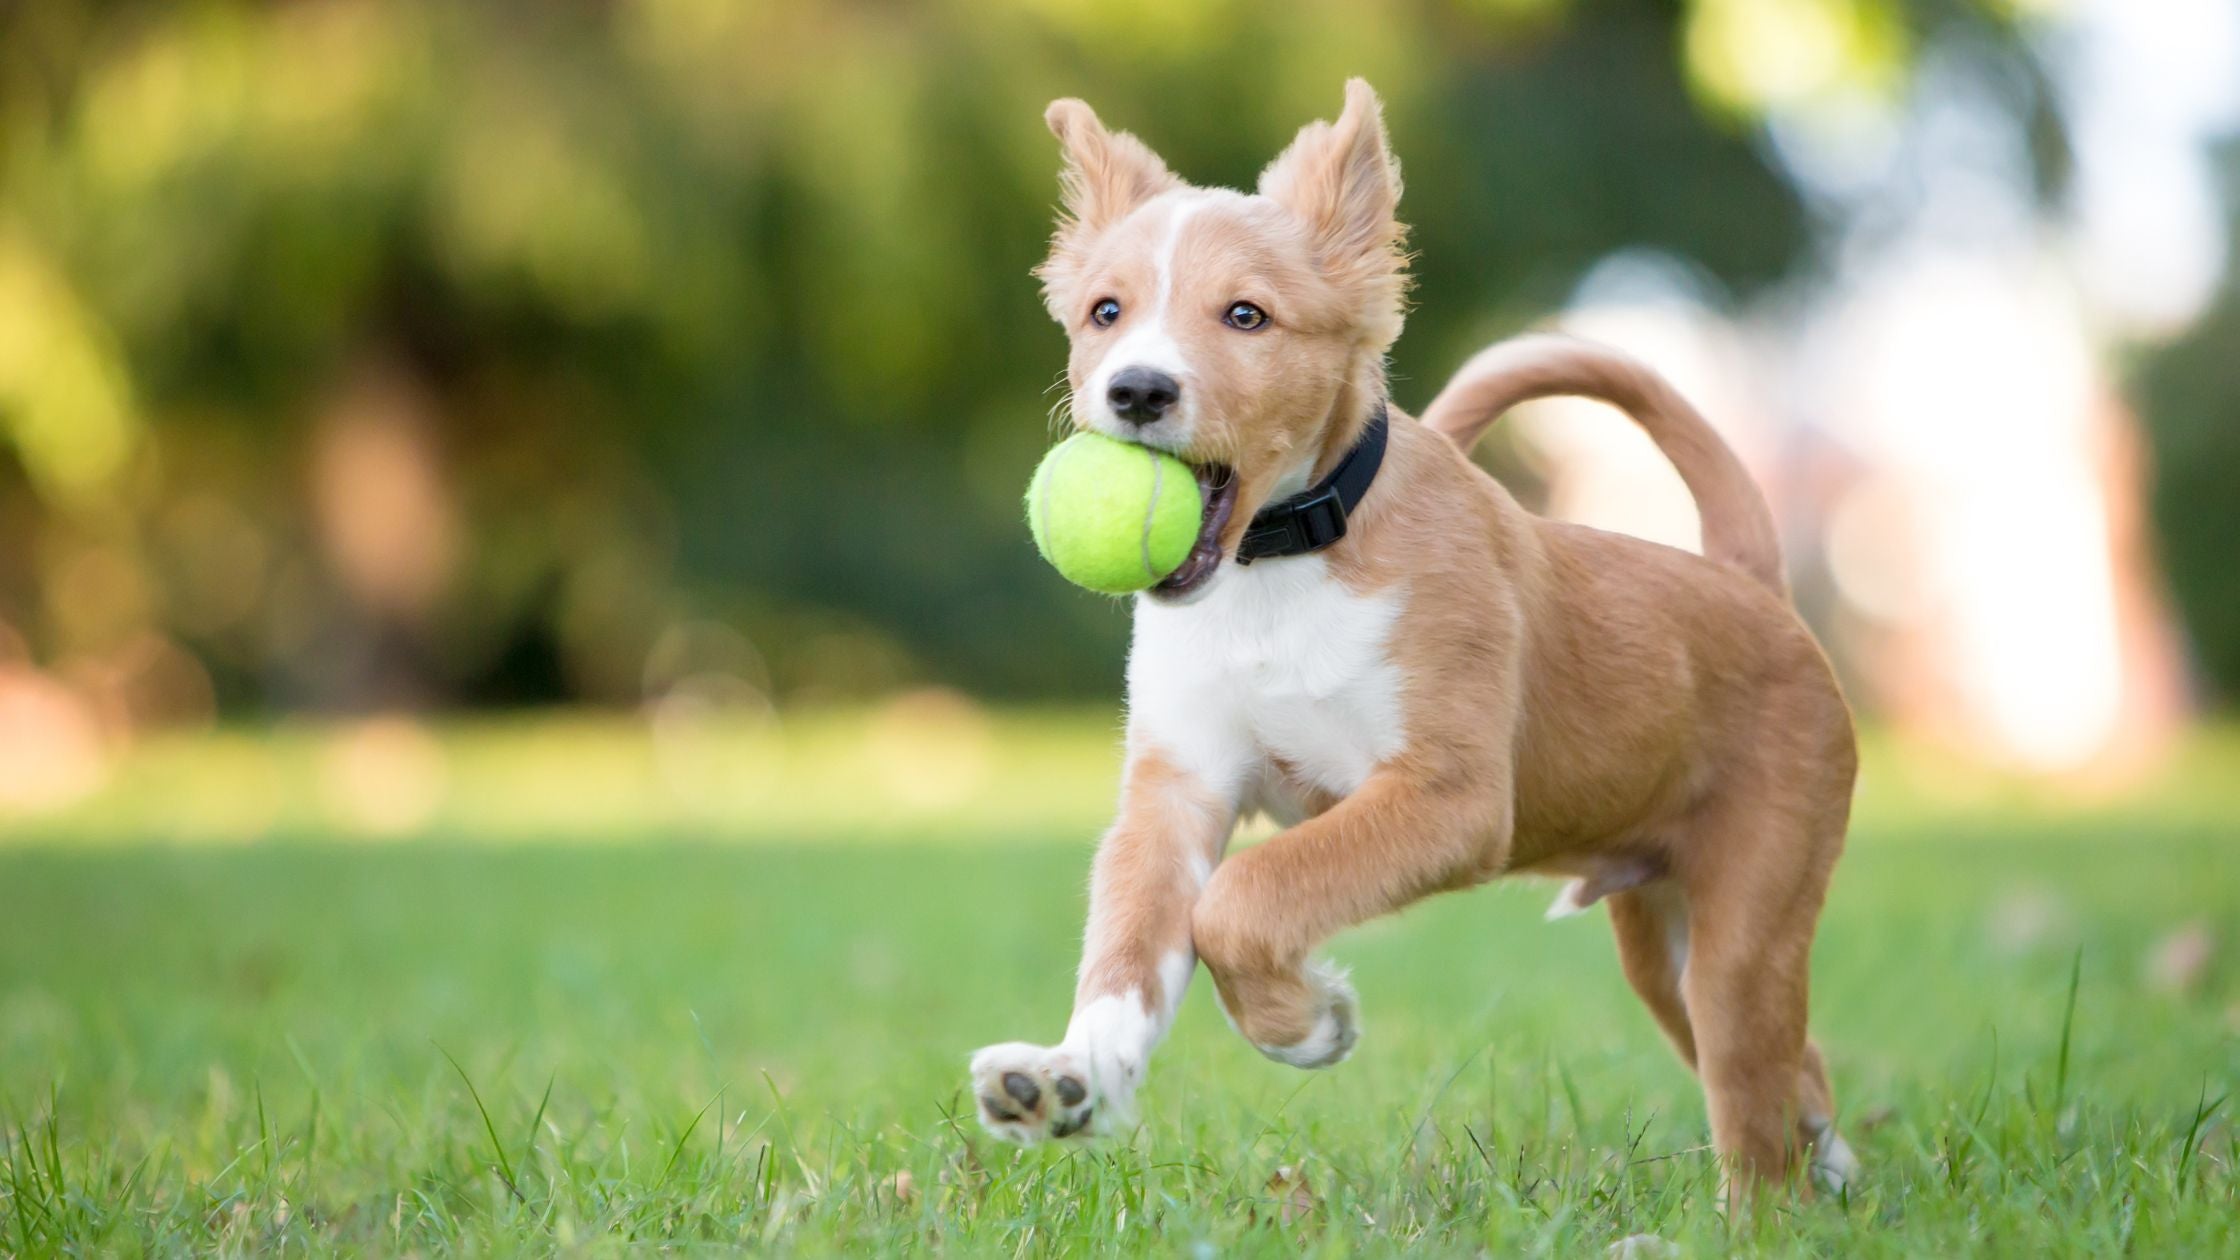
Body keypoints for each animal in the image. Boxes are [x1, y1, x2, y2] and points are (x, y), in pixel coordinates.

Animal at [972, 78, 1863, 1192]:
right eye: (1105, 312)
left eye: (1245, 315)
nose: (1136, 389)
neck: (1276, 574)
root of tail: (1748, 583)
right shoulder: (1176, 793)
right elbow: (1130, 947)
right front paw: (1069, 1076)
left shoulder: (1448, 795)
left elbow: (1243, 898)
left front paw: (1306, 1025)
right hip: (1662, 944)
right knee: (1799, 1070)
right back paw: (1838, 1177)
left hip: (1746, 924)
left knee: (1755, 1109)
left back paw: (1760, 1210)